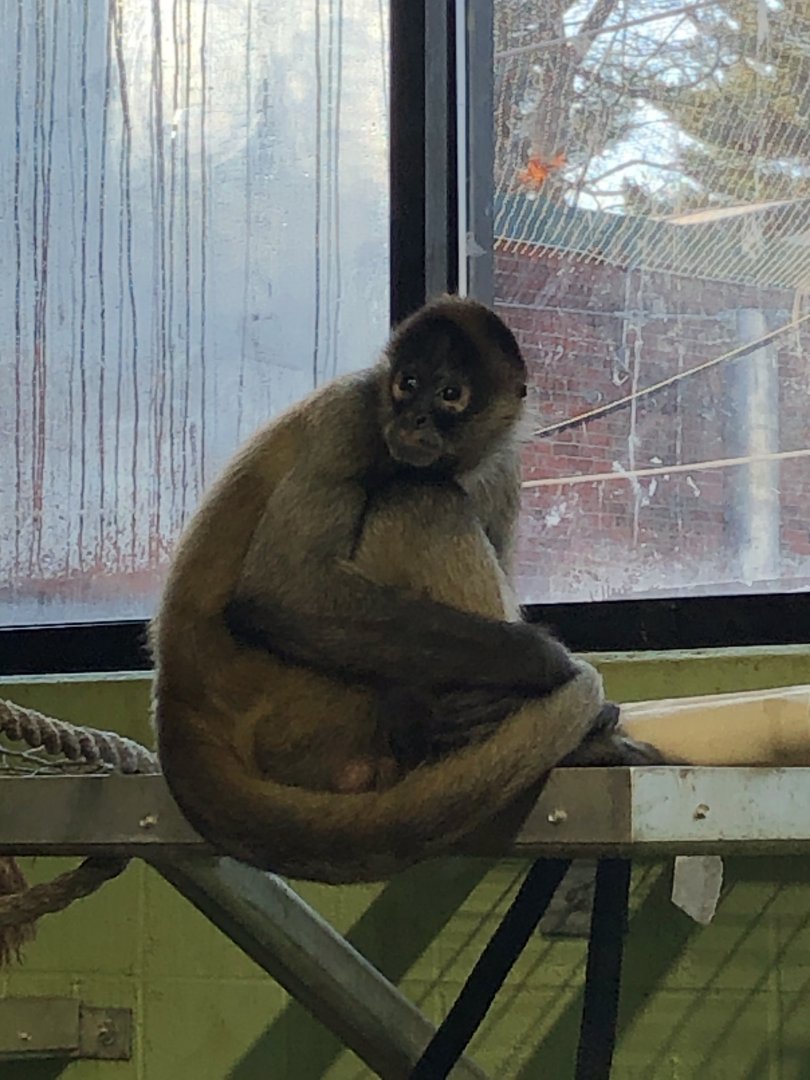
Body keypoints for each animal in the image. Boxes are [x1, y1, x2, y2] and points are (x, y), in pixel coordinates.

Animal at [150, 295, 659, 884]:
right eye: (407, 383)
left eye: (449, 394)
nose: (412, 416)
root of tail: (178, 707)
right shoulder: (348, 418)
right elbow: (279, 593)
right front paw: (548, 663)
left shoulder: (502, 463)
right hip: (303, 708)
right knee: (420, 496)